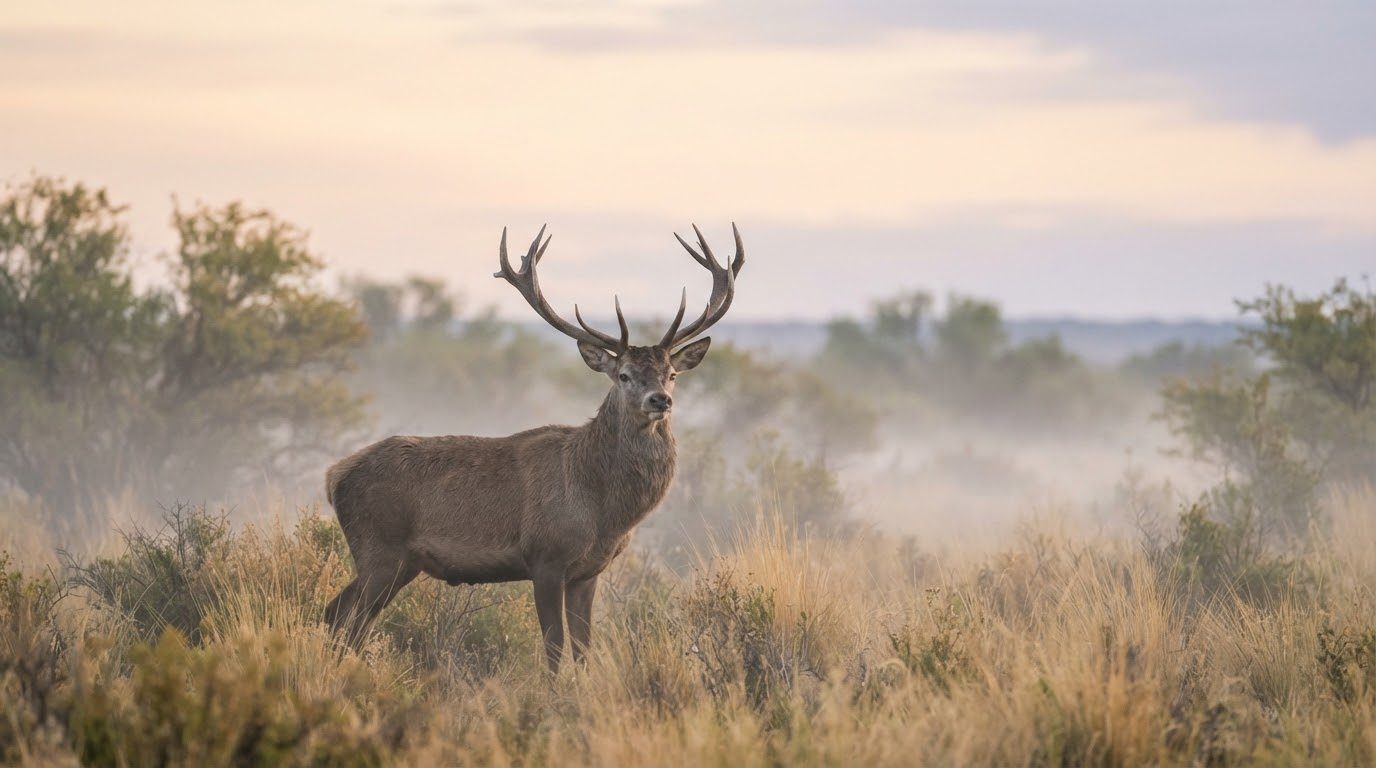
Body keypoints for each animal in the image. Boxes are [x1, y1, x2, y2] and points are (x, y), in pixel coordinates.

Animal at [323, 224, 743, 670]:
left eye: (671, 374)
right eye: (624, 375)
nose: (660, 400)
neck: (603, 511)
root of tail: (334, 476)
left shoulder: (587, 572)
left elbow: (582, 648)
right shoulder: (545, 557)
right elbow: (554, 647)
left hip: (400, 562)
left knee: (344, 613)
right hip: (379, 548)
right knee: (344, 615)